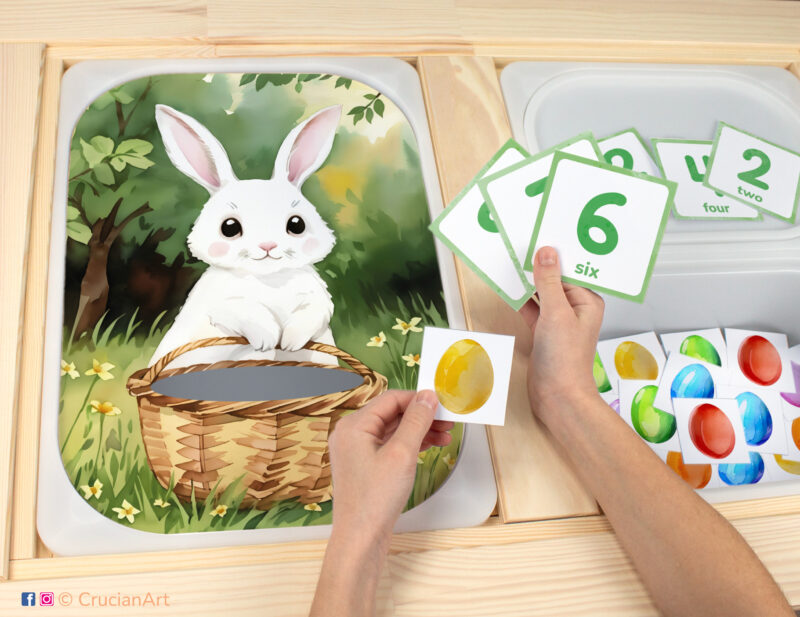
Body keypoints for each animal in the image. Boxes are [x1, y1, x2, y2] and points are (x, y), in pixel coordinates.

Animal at [148, 103, 342, 368]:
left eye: (297, 224)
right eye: (229, 227)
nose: (268, 245)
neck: (269, 279)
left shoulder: (317, 300)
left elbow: (313, 313)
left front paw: (290, 342)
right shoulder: (222, 304)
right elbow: (245, 311)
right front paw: (268, 339)